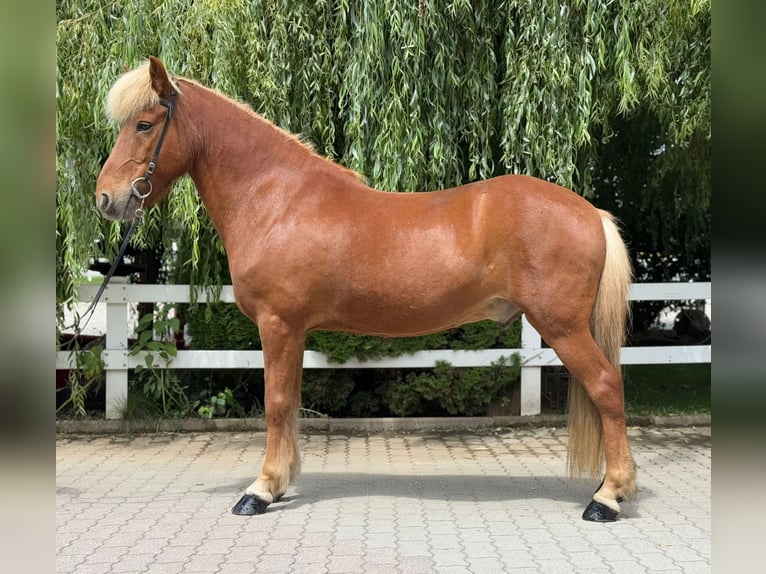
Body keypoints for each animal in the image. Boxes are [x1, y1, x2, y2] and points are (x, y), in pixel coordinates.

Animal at [96, 56, 637, 521]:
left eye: (144, 124)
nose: (106, 199)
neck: (276, 199)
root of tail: (591, 212)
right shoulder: (293, 331)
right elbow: (290, 403)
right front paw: (281, 481)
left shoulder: (278, 324)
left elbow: (275, 403)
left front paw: (260, 490)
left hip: (563, 327)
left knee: (607, 388)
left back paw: (608, 498)